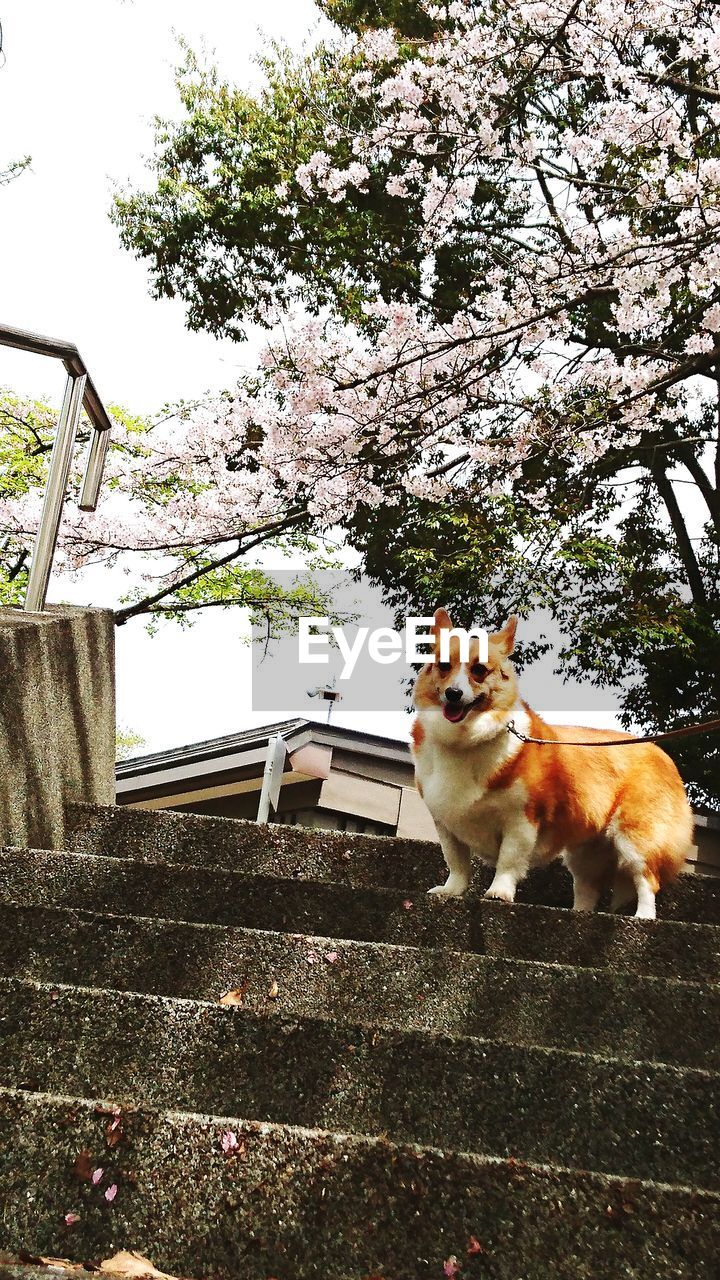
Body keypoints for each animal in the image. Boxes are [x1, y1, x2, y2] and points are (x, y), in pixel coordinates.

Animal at [409, 611, 691, 921]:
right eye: (444, 666)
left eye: (479, 670)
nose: (453, 694)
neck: (465, 740)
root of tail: (662, 754)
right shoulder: (446, 822)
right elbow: (456, 863)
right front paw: (450, 891)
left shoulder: (521, 820)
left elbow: (508, 861)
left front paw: (499, 892)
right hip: (585, 853)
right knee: (587, 888)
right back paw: (579, 913)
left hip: (636, 839)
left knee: (647, 880)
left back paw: (643, 916)